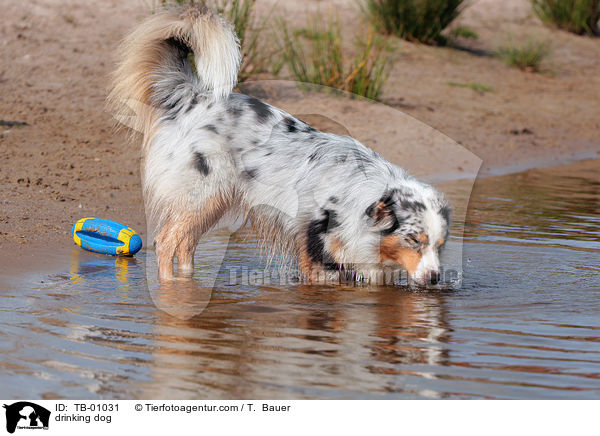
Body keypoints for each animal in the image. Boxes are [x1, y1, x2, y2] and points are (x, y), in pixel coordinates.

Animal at [109, 6, 450, 288]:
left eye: (439, 244)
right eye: (414, 240)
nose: (435, 279)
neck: (362, 195)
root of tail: (194, 96)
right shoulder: (318, 253)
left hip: (212, 202)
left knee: (185, 245)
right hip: (200, 195)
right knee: (166, 242)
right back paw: (172, 289)